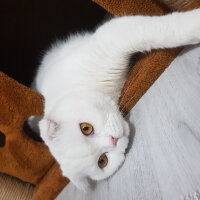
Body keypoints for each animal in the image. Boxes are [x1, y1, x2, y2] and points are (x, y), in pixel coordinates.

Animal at [29, 9, 200, 191]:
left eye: (85, 128)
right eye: (102, 161)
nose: (113, 140)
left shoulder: (111, 37)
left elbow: (166, 30)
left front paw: (195, 22)